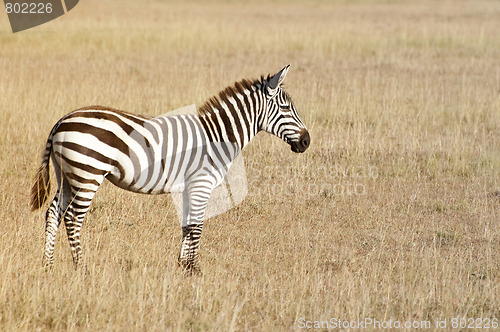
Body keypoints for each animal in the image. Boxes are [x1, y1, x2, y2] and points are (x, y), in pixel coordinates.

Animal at [30, 65, 308, 274]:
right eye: (286, 108)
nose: (306, 141)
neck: (217, 136)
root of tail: (62, 121)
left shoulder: (188, 187)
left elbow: (187, 225)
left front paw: (183, 266)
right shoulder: (201, 184)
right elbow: (197, 226)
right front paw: (194, 270)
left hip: (68, 176)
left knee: (53, 213)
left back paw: (47, 265)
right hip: (88, 174)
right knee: (73, 218)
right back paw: (82, 268)